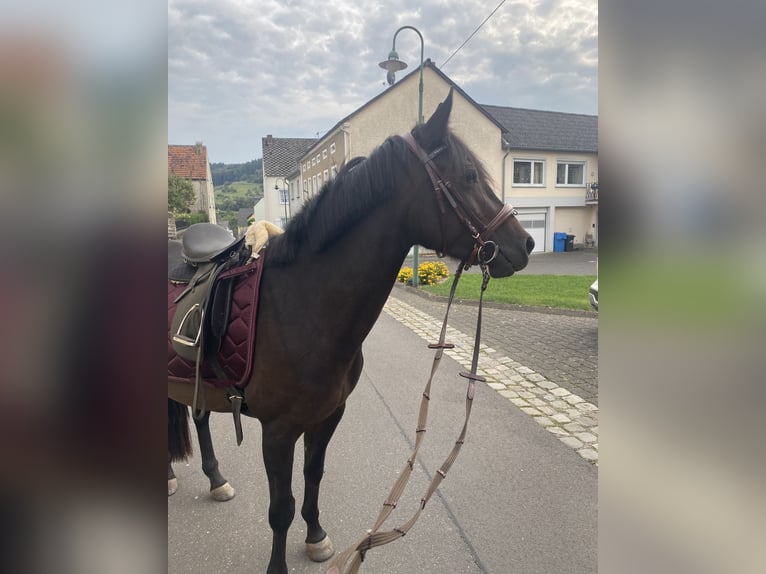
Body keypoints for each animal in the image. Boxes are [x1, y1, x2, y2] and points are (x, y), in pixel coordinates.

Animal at [168, 89, 535, 574]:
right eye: (470, 175)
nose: (525, 244)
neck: (304, 306)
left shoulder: (328, 416)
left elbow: (313, 477)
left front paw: (317, 537)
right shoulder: (277, 431)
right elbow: (280, 507)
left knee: (197, 417)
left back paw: (214, 479)